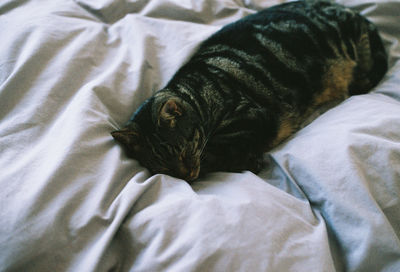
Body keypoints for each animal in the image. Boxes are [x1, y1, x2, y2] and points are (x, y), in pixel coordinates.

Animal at [110, 1, 388, 183]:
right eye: (162, 167)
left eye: (184, 150)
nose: (186, 176)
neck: (198, 94)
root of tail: (360, 16)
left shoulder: (252, 117)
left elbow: (218, 150)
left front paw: (245, 160)